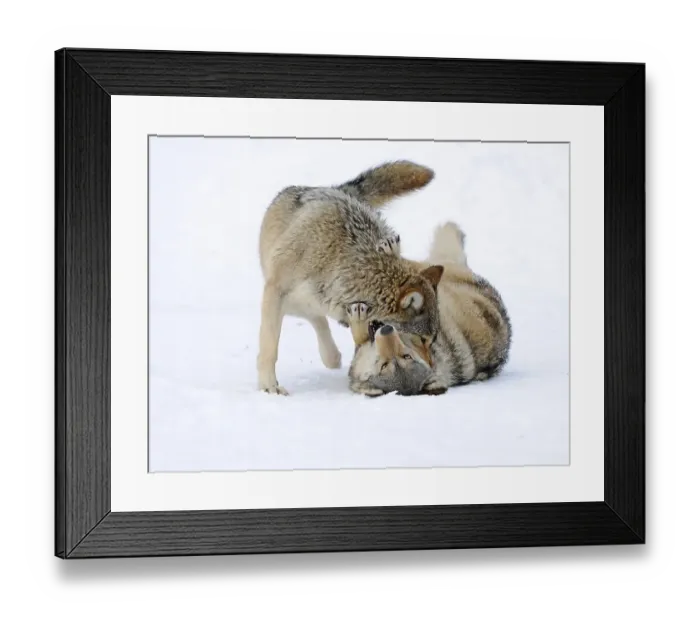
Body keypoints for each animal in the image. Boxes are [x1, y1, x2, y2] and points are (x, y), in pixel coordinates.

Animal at [257, 161, 442, 395]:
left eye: (432, 340)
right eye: (422, 339)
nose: (432, 368)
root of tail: (336, 189)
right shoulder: (276, 292)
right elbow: (270, 347)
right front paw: (269, 386)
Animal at [346, 222, 512, 396]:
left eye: (406, 357)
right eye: (383, 365)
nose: (386, 330)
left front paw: (359, 319)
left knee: (415, 265)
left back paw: (393, 251)